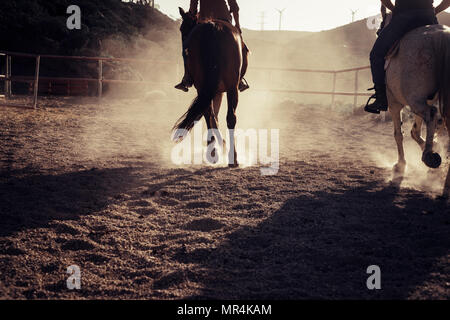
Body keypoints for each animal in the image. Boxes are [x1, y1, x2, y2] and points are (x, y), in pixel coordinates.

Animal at [172, 8, 244, 168]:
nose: (183, 45)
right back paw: (231, 157)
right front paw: (221, 146)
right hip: (230, 88)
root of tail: (213, 28)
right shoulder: (219, 91)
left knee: (211, 114)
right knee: (229, 117)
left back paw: (219, 153)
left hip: (207, 87)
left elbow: (213, 116)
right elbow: (214, 116)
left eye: (182, 29)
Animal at [382, 10, 450, 196]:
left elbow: (398, 134)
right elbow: (414, 131)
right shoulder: (422, 100)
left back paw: (429, 157)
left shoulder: (394, 103)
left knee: (432, 114)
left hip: (414, 99)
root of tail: (441, 35)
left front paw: (400, 164)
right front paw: (433, 144)